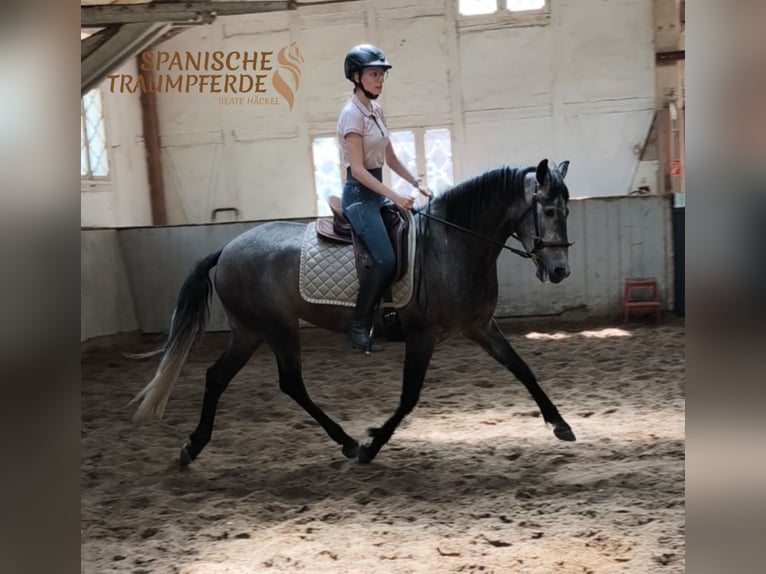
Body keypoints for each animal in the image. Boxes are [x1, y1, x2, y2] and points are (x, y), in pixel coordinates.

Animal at [130, 158, 575, 466]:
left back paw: (194, 447)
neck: (451, 243)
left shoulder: (479, 326)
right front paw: (372, 445)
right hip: (276, 328)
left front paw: (560, 424)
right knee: (289, 383)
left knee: (220, 377)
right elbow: (409, 396)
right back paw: (346, 443)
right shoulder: (423, 336)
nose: (560, 271)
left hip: (249, 332)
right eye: (549, 211)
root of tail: (226, 250)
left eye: (567, 211)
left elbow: (521, 368)